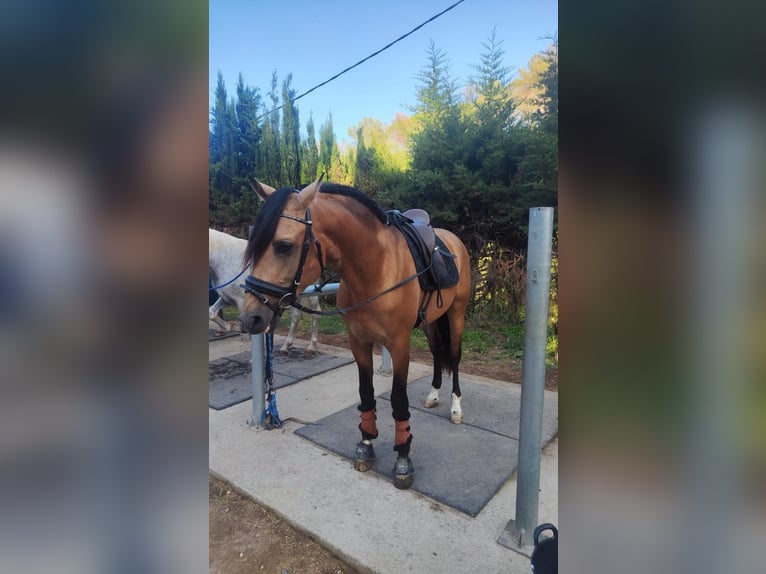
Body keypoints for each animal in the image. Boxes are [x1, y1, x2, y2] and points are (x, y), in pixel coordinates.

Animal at [239, 177, 471, 490]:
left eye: (284, 246)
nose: (250, 317)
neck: (375, 269)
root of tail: (452, 240)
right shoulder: (358, 342)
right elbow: (366, 393)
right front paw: (366, 444)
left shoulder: (400, 345)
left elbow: (398, 400)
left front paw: (403, 459)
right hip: (431, 320)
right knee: (437, 353)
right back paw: (434, 395)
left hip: (456, 314)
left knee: (454, 356)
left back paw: (456, 408)